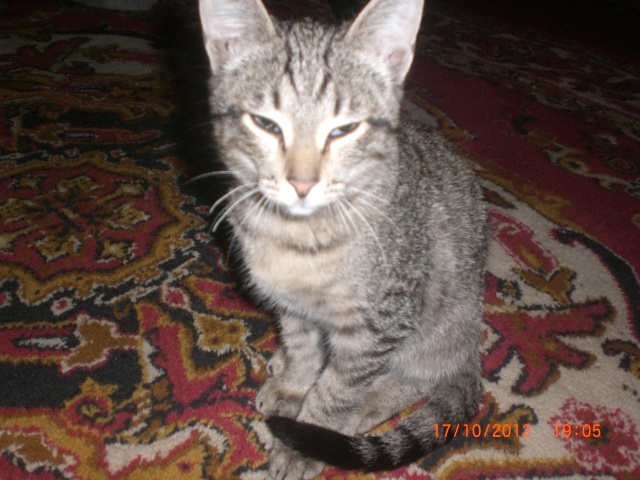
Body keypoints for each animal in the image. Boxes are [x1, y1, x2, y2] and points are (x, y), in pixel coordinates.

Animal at [197, 0, 488, 478]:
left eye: (344, 130)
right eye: (265, 124)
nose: (302, 183)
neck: (296, 237)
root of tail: (472, 348)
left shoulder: (378, 326)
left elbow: (337, 392)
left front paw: (304, 441)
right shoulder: (293, 307)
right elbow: (302, 347)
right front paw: (294, 383)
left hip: (440, 325)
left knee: (419, 379)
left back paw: (365, 408)